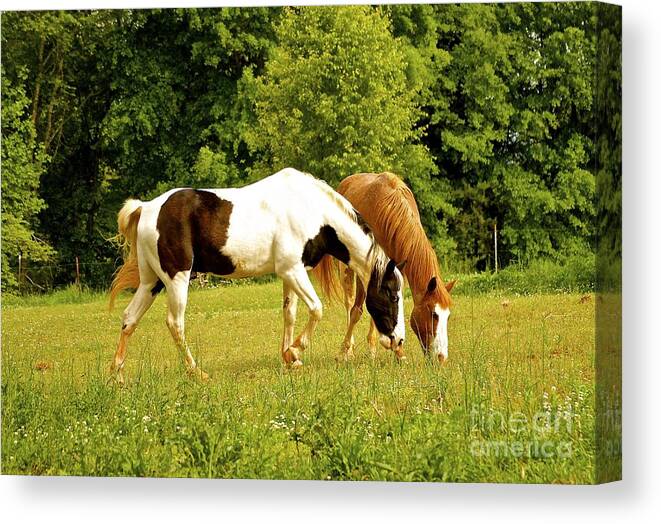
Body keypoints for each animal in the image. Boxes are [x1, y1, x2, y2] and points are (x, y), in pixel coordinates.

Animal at [107, 170, 408, 382]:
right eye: (393, 295)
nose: (398, 341)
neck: (311, 209)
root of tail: (146, 208)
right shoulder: (292, 271)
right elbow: (317, 309)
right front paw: (296, 351)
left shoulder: (291, 273)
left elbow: (290, 313)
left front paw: (290, 358)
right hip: (176, 280)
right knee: (174, 323)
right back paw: (197, 372)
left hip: (151, 282)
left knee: (129, 319)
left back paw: (117, 375)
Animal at [314, 172, 454, 364]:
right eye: (433, 314)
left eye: (448, 316)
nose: (441, 358)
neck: (391, 214)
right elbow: (357, 311)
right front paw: (343, 352)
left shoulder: (396, 271)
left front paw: (397, 351)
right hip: (346, 268)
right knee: (349, 302)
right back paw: (350, 349)